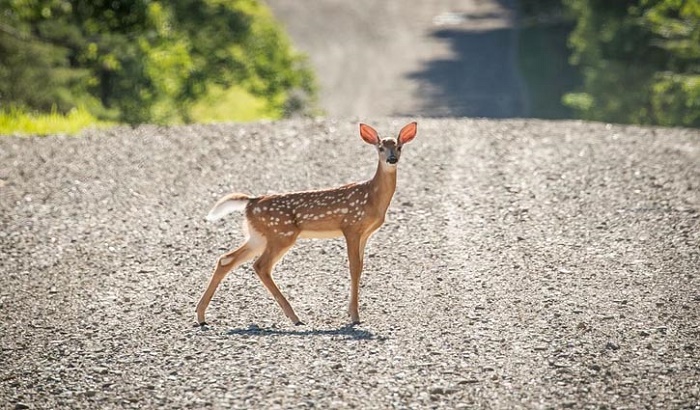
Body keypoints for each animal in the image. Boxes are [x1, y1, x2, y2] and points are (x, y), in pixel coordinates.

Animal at [196, 121, 417, 327]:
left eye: (399, 146)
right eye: (380, 147)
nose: (392, 159)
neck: (371, 197)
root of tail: (250, 202)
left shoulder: (365, 233)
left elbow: (360, 266)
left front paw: (351, 312)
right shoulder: (351, 226)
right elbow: (354, 267)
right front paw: (355, 316)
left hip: (258, 236)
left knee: (226, 259)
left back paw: (201, 316)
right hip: (281, 234)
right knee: (260, 266)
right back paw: (295, 317)